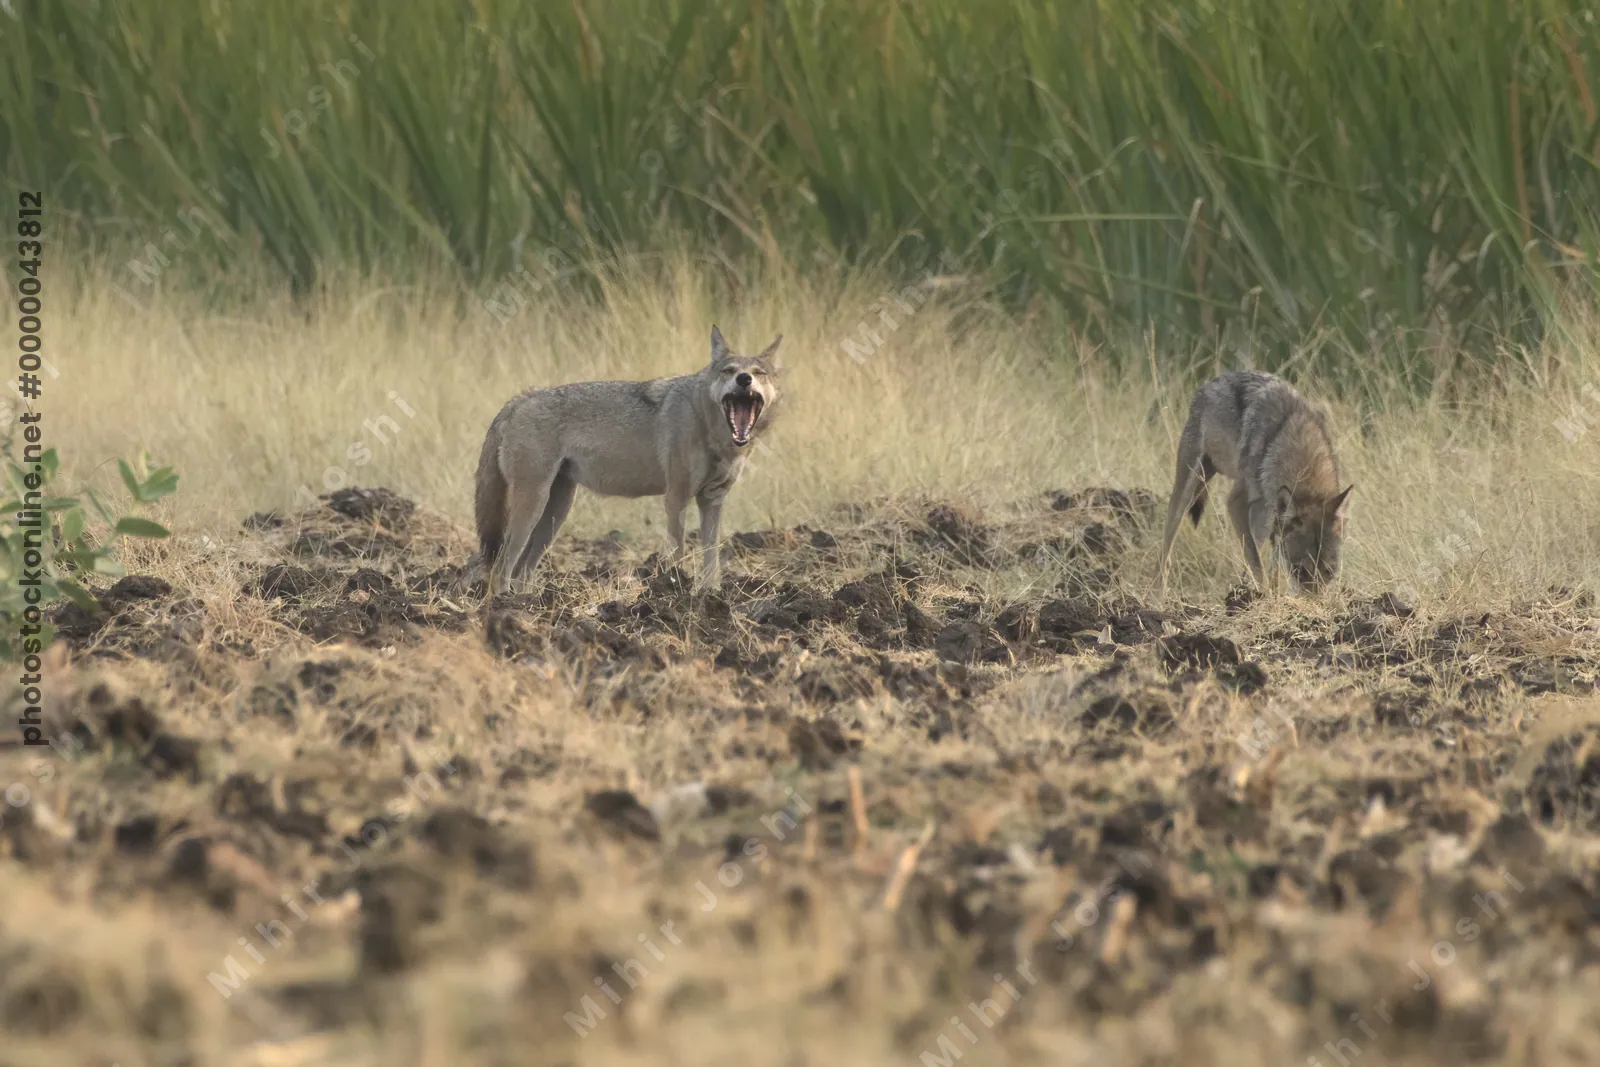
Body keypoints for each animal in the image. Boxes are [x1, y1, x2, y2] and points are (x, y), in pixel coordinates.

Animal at [474, 325, 782, 594]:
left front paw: (711, 594)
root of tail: (522, 397)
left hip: (555, 513)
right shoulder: (676, 496)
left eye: (759, 373)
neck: (709, 426)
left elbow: (711, 558)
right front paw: (678, 591)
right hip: (533, 507)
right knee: (501, 567)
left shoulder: (712, 499)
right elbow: (679, 552)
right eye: (729, 371)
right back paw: (506, 605)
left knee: (522, 571)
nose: (744, 379)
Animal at [1157, 370, 1352, 597]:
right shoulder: (1236, 503)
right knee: (1165, 555)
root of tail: (1209, 382)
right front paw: (1265, 598)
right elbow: (1257, 565)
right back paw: (1159, 596)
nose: (1313, 604)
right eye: (1300, 571)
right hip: (1189, 491)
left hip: (1262, 516)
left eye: (1330, 571)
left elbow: (1263, 564)